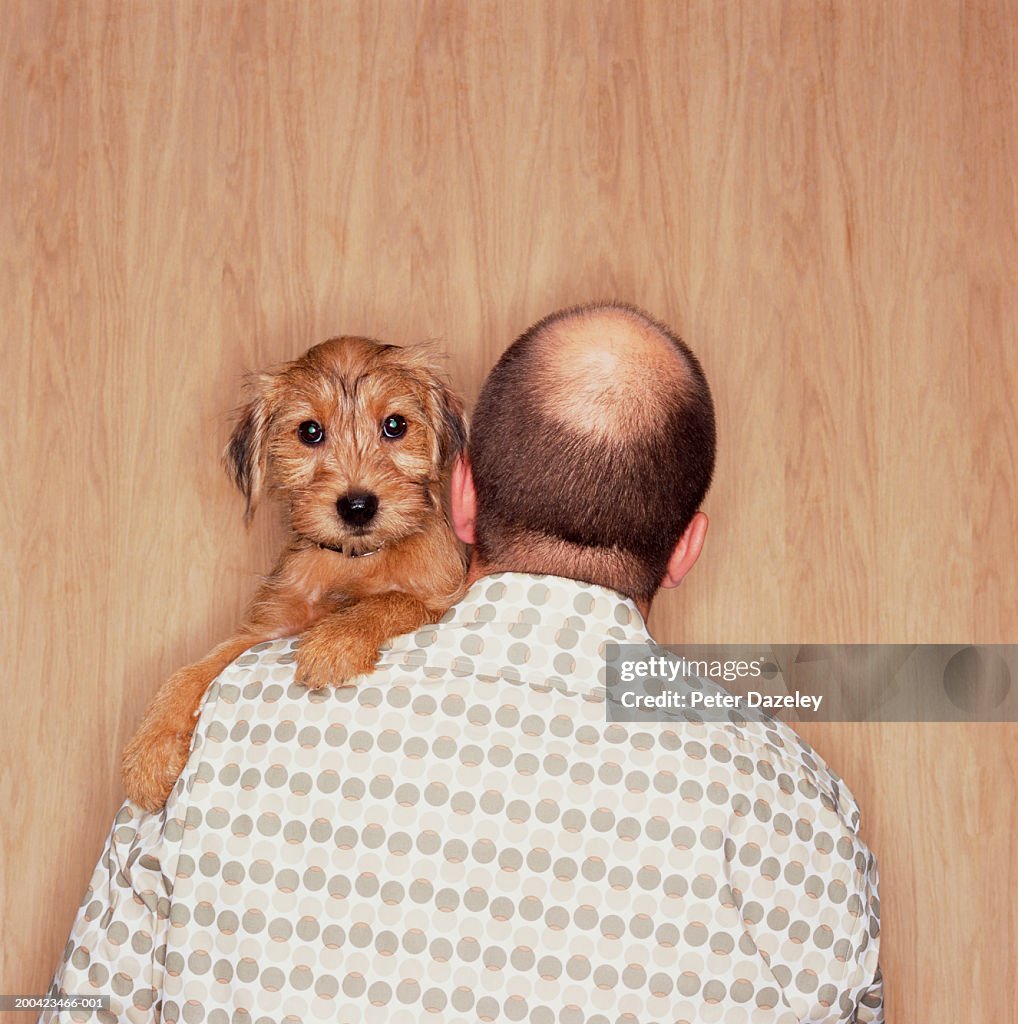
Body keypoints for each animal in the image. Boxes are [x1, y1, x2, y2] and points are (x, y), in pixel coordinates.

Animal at [120, 335, 467, 806]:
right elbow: (194, 669)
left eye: (395, 425)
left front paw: (335, 642)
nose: (357, 506)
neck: (353, 559)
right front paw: (150, 750)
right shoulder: (267, 629)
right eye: (309, 431)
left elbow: (391, 600)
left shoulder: (439, 599)